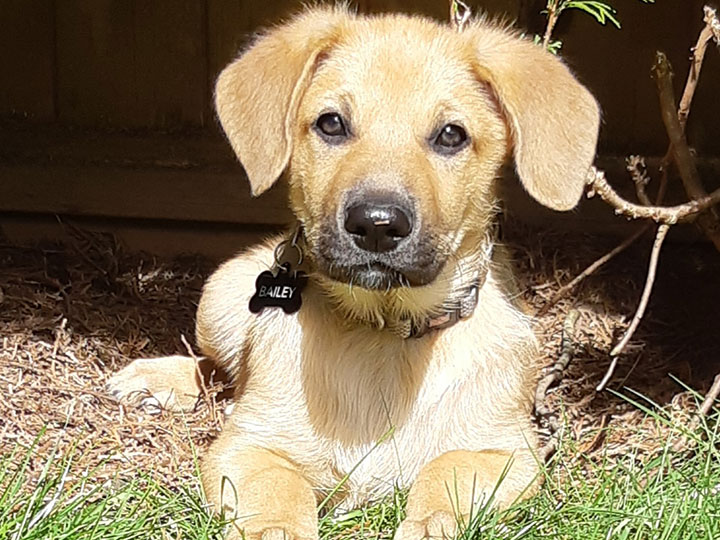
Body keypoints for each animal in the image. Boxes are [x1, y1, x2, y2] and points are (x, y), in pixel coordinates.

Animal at [109, 6, 600, 536]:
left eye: (451, 135)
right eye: (332, 124)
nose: (377, 225)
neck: (385, 336)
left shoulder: (506, 452)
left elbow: (444, 471)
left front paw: (430, 525)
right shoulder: (250, 446)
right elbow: (278, 494)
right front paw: (279, 527)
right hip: (221, 295)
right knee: (220, 367)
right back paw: (156, 378)